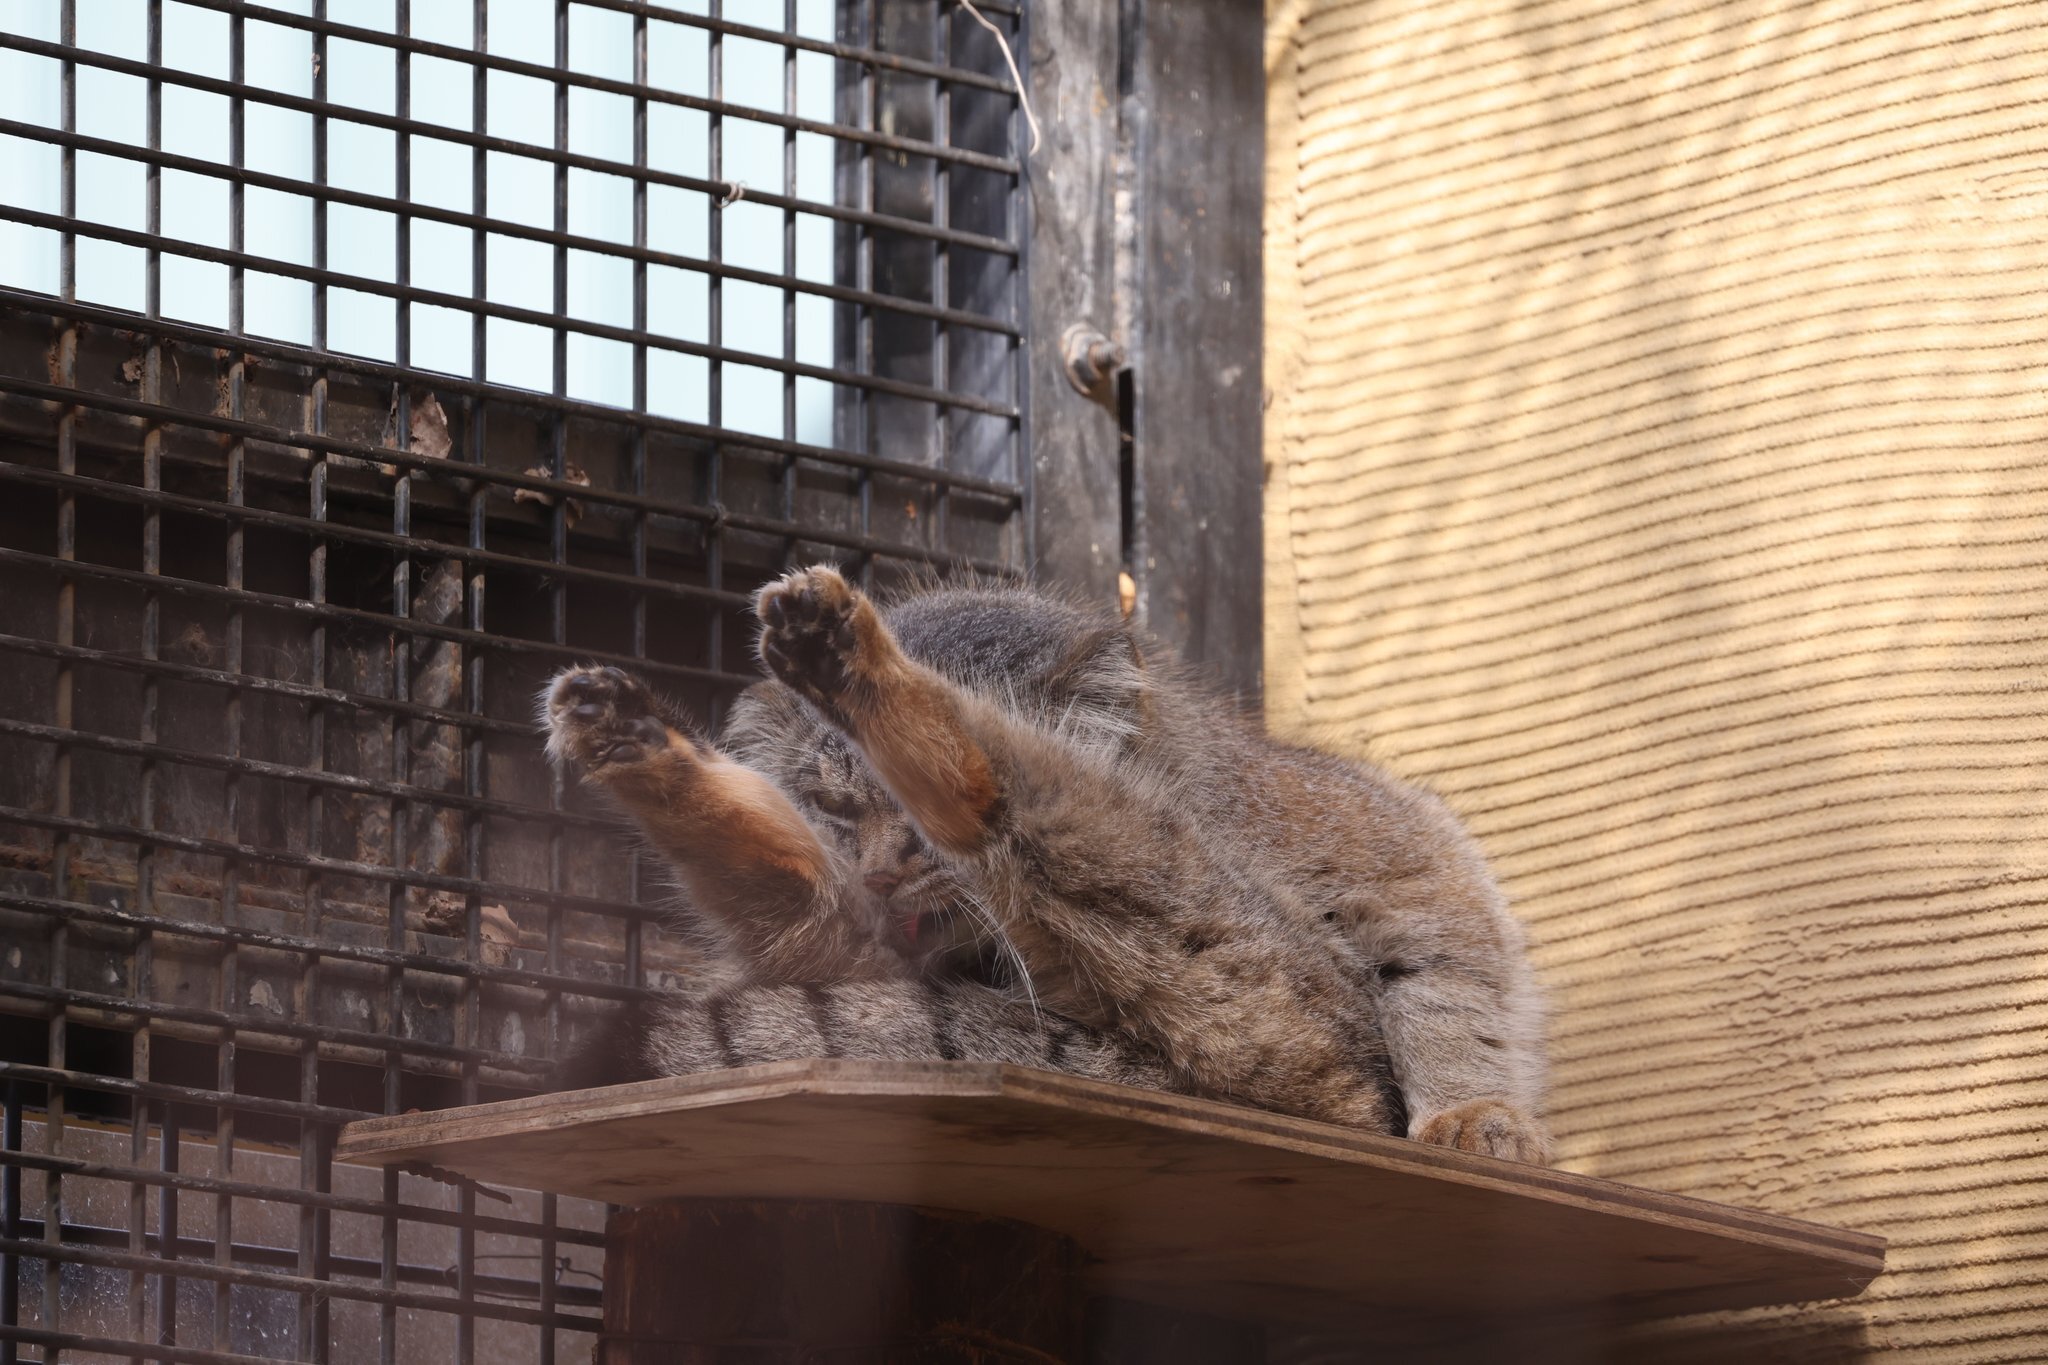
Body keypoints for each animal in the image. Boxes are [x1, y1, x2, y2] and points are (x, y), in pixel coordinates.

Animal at [544, 564, 1548, 1162]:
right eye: (837, 809)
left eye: (904, 829)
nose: (879, 873)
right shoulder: (882, 945)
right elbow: (829, 936)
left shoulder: (1393, 848)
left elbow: (1448, 966)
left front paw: (1473, 1110)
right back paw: (658, 745)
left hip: (1287, 995)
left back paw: (877, 683)